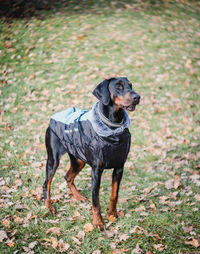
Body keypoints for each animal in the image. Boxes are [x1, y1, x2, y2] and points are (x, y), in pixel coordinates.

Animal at [43, 77, 140, 230]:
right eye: (118, 87)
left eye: (130, 85)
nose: (137, 97)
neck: (113, 128)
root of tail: (53, 117)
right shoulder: (96, 171)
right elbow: (96, 201)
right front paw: (98, 222)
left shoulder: (119, 167)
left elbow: (114, 194)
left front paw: (112, 214)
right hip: (53, 159)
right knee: (46, 183)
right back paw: (49, 206)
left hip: (78, 159)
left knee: (67, 176)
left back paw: (79, 197)